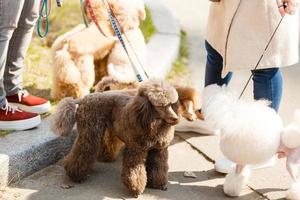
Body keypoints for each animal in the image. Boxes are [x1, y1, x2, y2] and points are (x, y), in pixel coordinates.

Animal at [51, 79, 180, 197]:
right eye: (160, 106)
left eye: (170, 104)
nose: (176, 119)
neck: (151, 121)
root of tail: (83, 99)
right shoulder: (136, 150)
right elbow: (135, 171)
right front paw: (136, 189)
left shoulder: (158, 150)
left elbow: (159, 167)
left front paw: (158, 184)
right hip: (89, 132)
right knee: (82, 152)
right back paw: (76, 175)